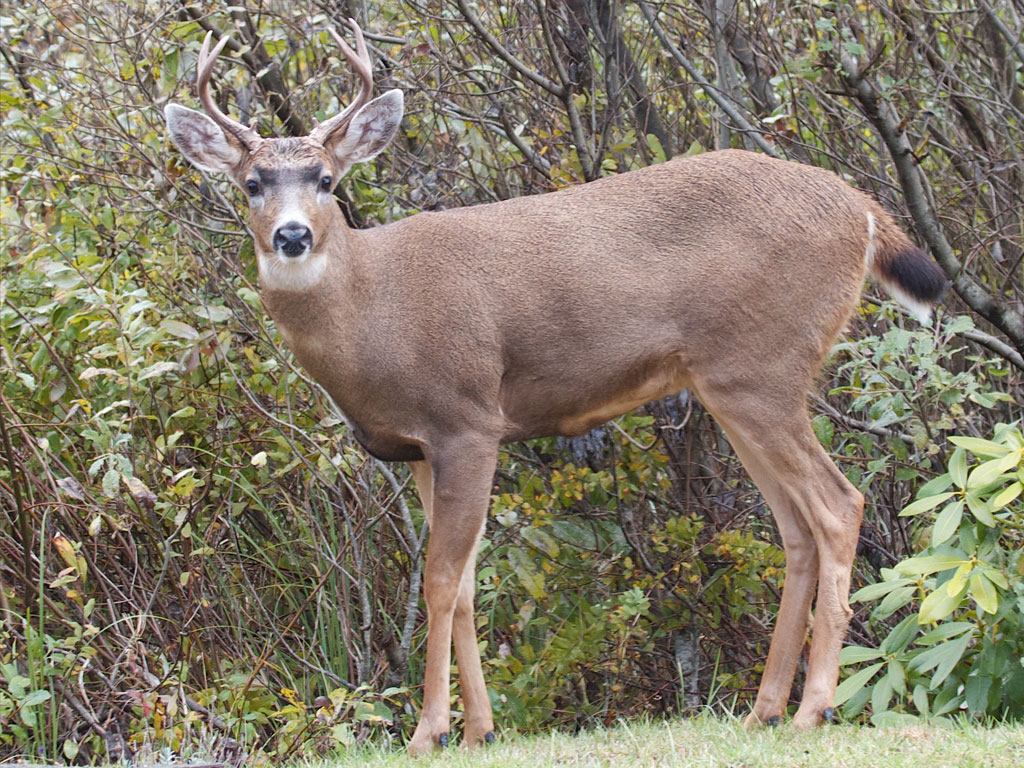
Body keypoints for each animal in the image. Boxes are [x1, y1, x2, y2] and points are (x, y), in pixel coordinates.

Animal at [163, 19, 946, 757]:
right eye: (252, 183)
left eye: (326, 179)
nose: (292, 236)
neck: (375, 313)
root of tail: (862, 212)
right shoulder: (418, 448)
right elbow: (468, 587)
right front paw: (479, 730)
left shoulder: (467, 418)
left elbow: (440, 580)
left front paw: (429, 731)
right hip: (733, 384)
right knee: (797, 527)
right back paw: (764, 710)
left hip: (764, 367)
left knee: (838, 506)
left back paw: (814, 709)